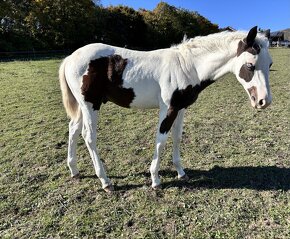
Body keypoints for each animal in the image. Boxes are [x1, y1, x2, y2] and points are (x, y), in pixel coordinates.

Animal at [58, 26, 272, 191]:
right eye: (250, 65)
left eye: (270, 64)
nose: (264, 101)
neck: (187, 66)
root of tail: (70, 58)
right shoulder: (167, 109)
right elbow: (161, 141)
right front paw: (156, 180)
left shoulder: (181, 108)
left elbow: (177, 137)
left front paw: (181, 172)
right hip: (90, 105)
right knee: (88, 136)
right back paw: (105, 181)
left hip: (82, 107)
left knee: (73, 129)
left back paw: (74, 171)